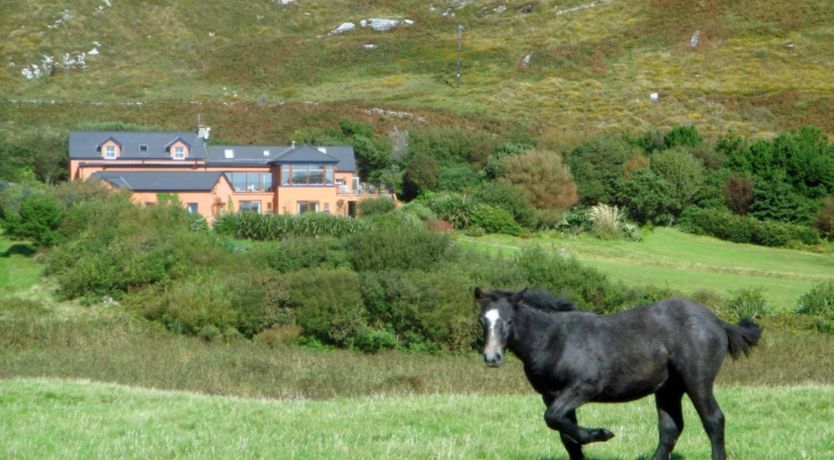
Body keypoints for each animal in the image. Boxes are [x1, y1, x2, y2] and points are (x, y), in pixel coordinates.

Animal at [474, 288, 760, 460]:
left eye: (509, 320)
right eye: (482, 320)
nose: (492, 357)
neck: (554, 339)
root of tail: (717, 321)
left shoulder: (585, 387)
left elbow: (553, 419)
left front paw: (602, 434)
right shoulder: (551, 395)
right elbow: (566, 434)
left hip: (696, 380)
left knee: (713, 420)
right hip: (668, 388)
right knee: (670, 428)